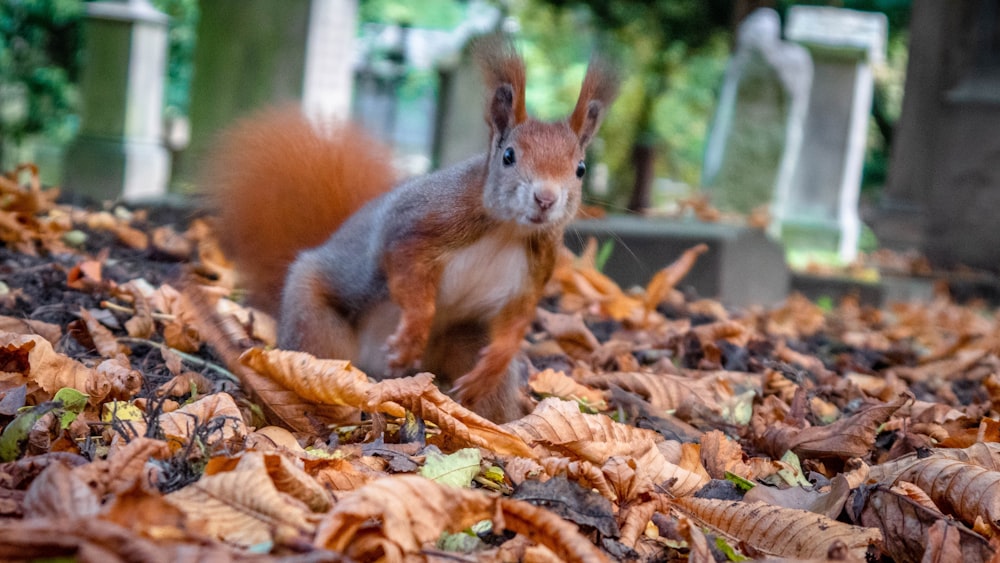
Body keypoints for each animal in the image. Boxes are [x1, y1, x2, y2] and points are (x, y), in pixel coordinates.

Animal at [203, 36, 616, 424]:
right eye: (508, 156)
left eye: (580, 169)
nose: (546, 199)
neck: (506, 230)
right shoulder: (419, 222)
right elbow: (406, 271)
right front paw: (413, 331)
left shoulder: (536, 269)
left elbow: (516, 321)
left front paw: (494, 362)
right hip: (317, 329)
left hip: (465, 340)